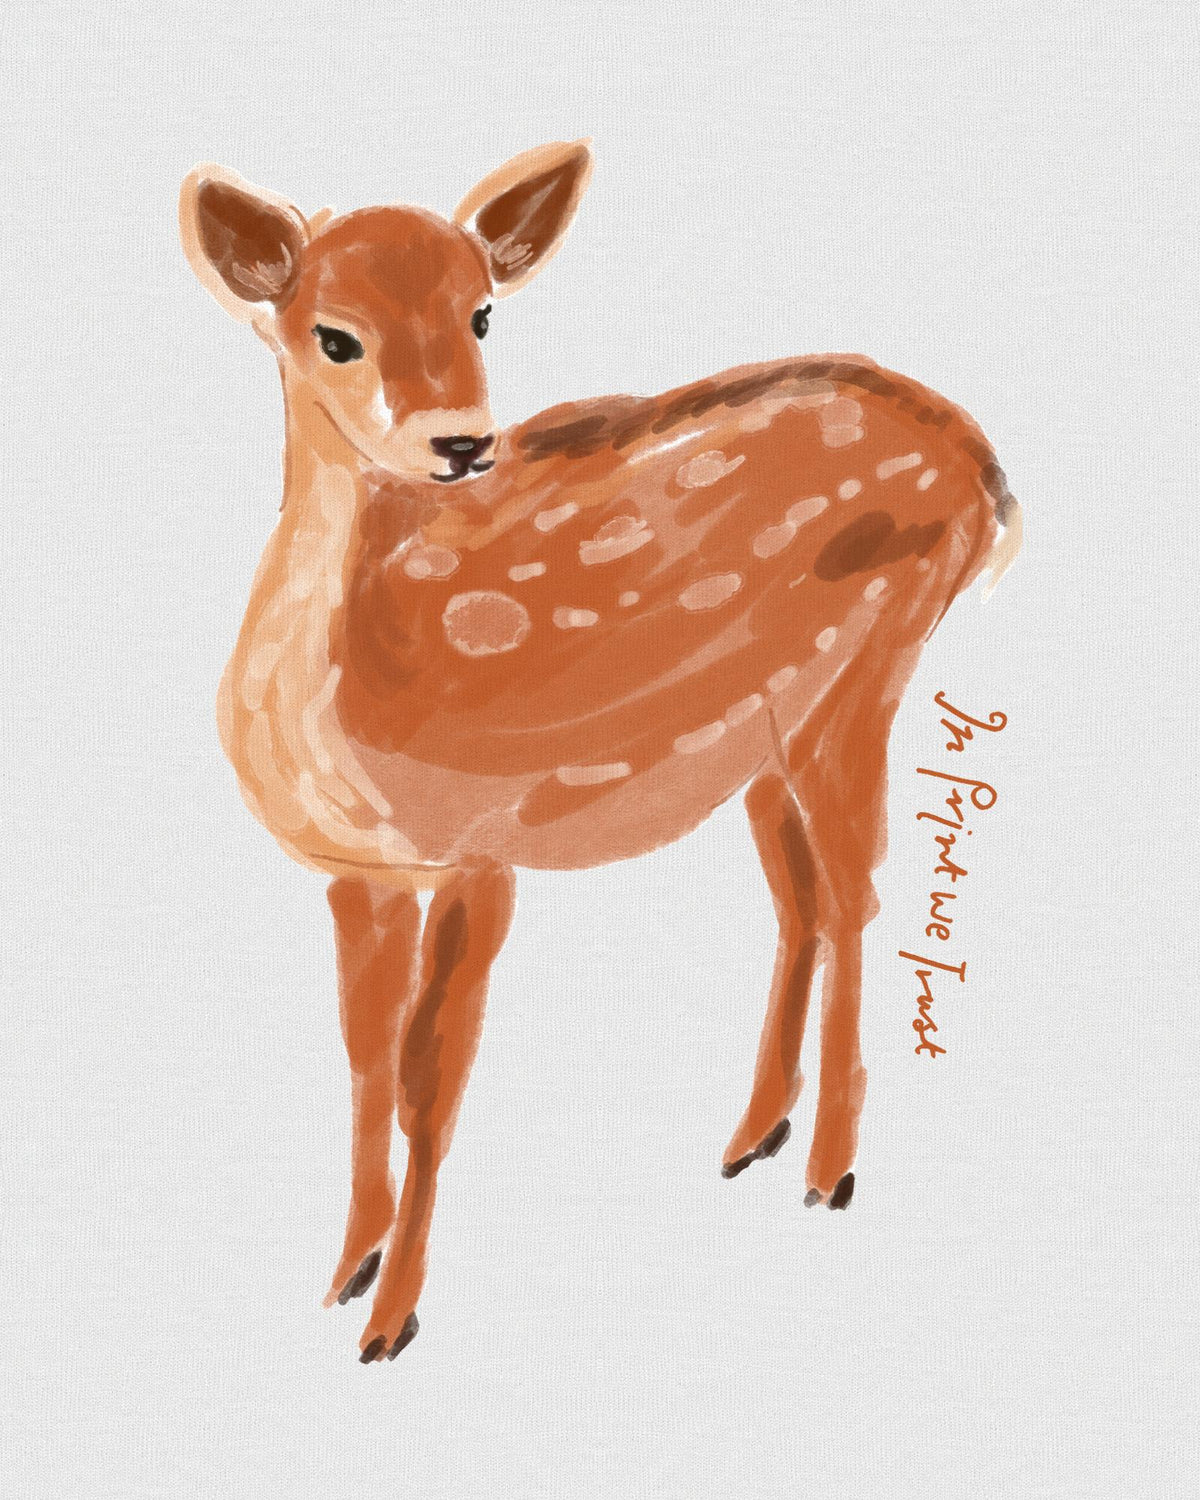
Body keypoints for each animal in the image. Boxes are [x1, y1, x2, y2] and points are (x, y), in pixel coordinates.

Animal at [178, 140, 1021, 1363]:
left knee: (859, 893)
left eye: (482, 314)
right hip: (765, 732)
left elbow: (431, 1081)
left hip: (874, 668)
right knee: (802, 895)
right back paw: (752, 1136)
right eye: (333, 335)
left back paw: (827, 1173)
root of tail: (983, 467)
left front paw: (391, 1322)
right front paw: (343, 1276)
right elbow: (363, 1057)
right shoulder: (358, 870)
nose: (464, 443)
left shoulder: (483, 849)